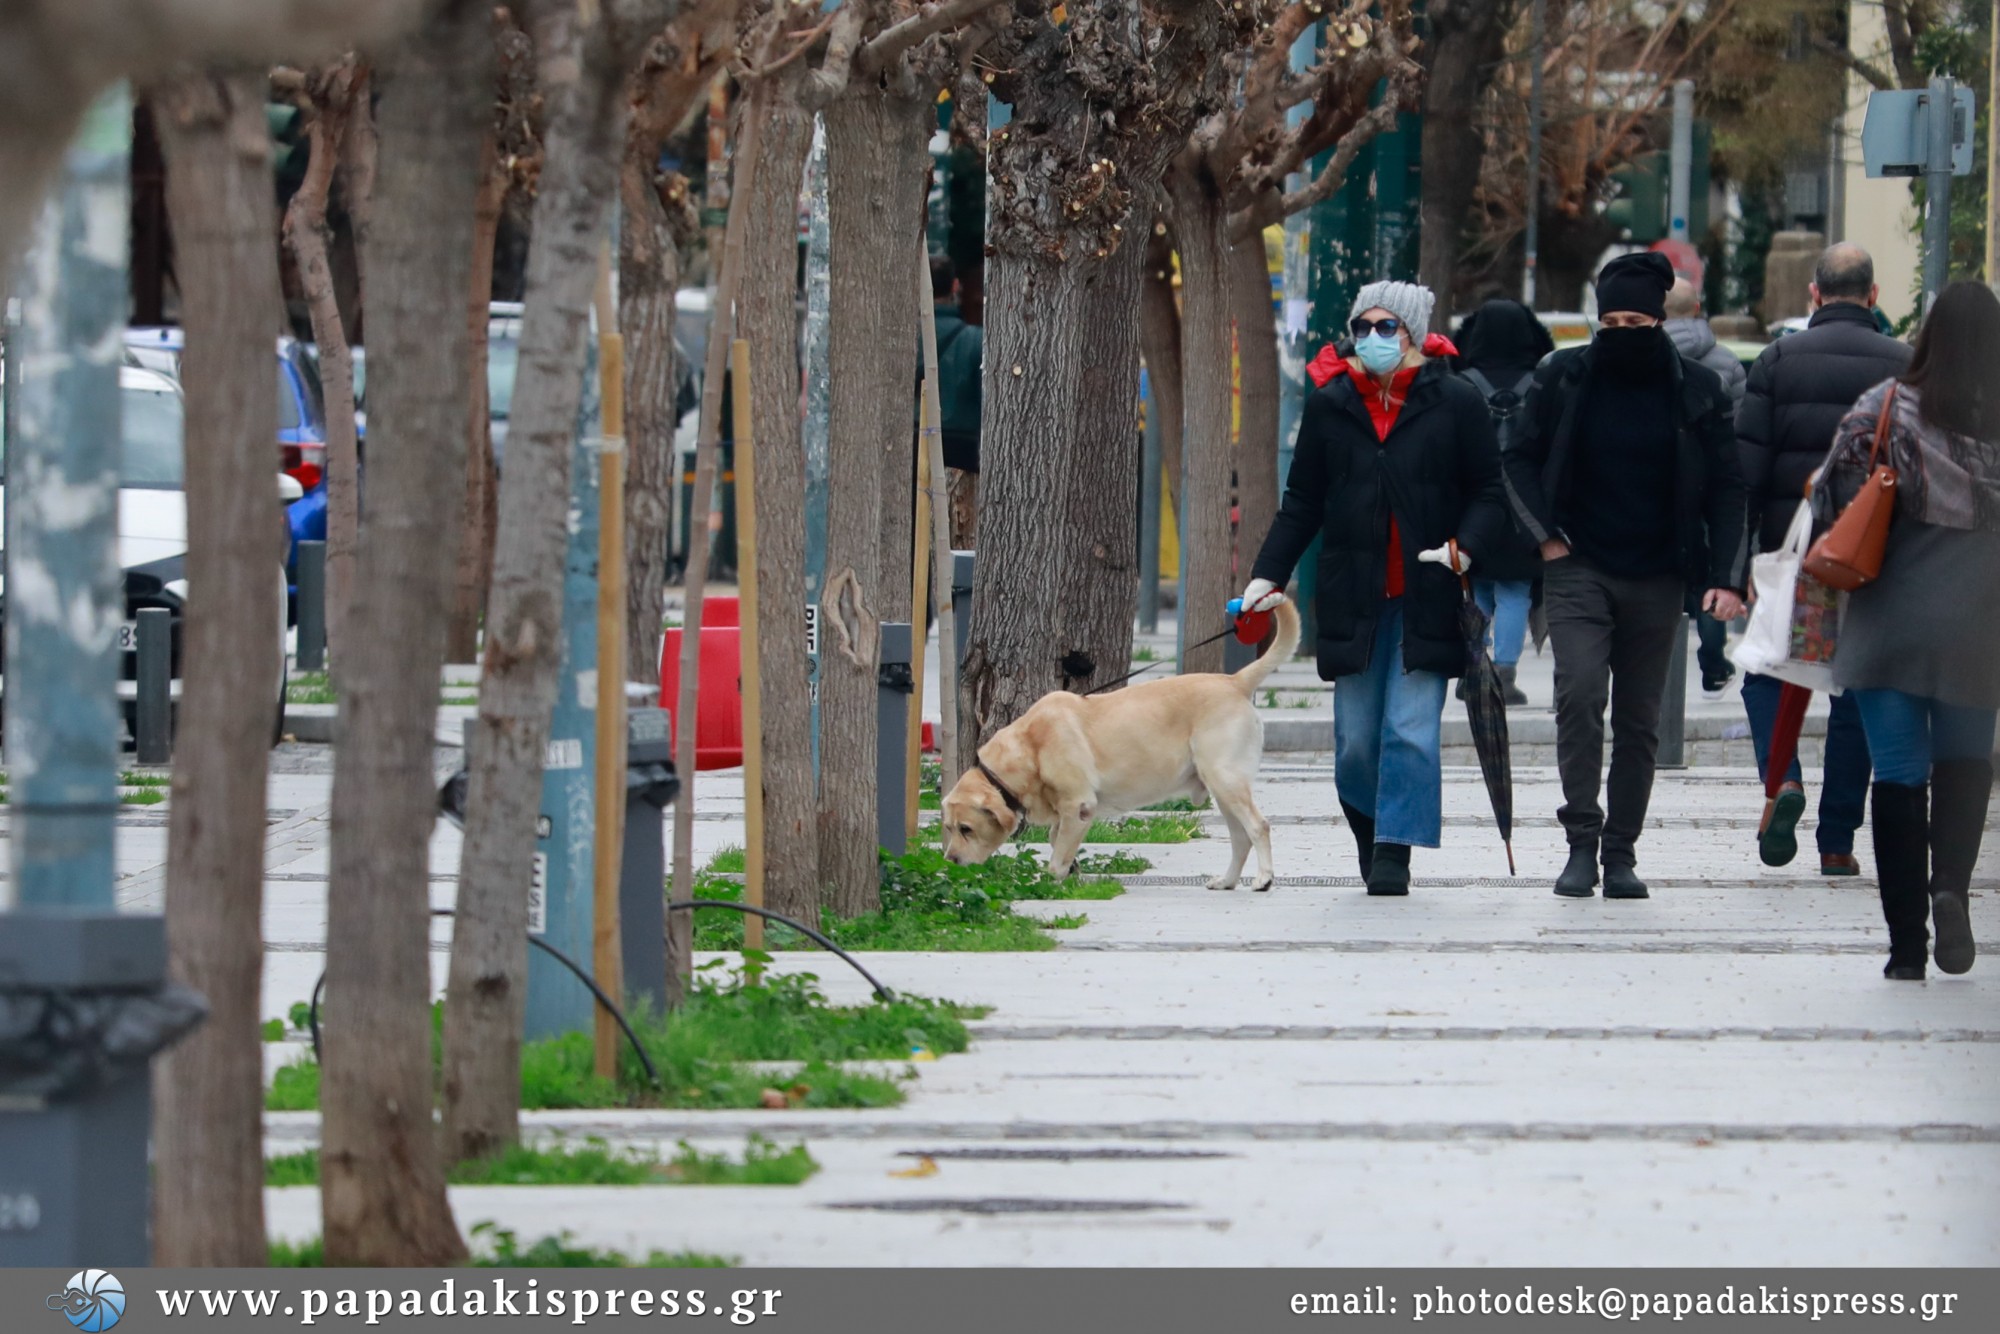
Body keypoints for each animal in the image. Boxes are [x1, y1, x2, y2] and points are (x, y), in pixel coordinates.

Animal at [944, 604, 1304, 896]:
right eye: (948, 828)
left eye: (966, 829)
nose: (951, 861)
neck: (1031, 748)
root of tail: (1234, 681)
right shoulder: (1066, 814)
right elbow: (1057, 841)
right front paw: (1071, 872)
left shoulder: (1079, 806)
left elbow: (1056, 856)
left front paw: (1051, 882)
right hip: (1222, 789)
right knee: (1240, 837)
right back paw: (1227, 881)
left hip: (1226, 779)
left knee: (1258, 827)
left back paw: (1264, 879)